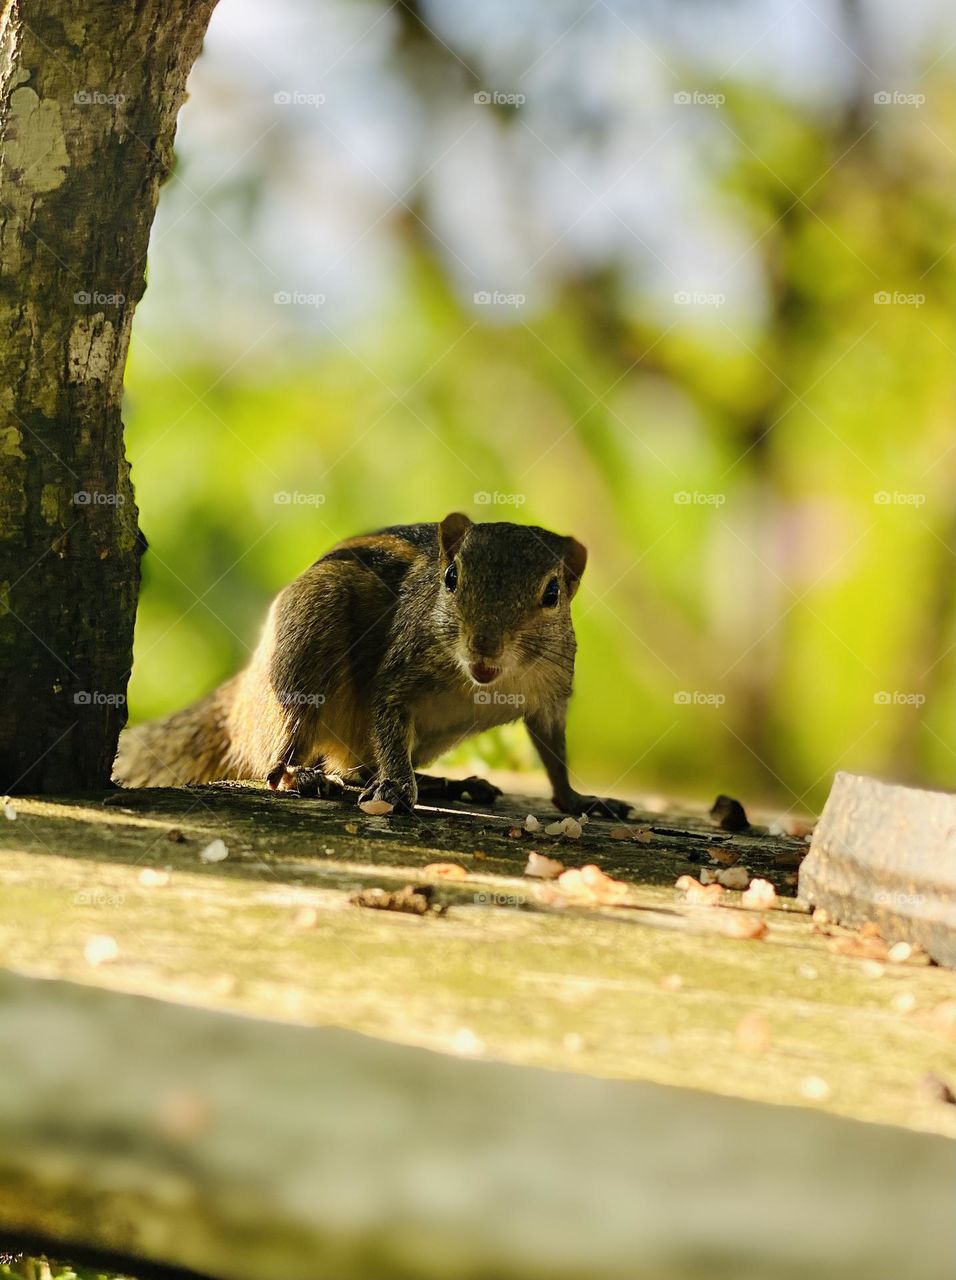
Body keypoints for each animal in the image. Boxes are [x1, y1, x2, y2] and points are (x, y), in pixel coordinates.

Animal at [113, 513, 630, 818]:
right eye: (451, 577)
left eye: (552, 593)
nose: (484, 646)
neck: (484, 683)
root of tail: (240, 697)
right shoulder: (400, 673)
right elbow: (388, 717)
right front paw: (398, 789)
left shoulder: (551, 697)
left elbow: (554, 753)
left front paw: (579, 800)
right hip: (303, 648)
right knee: (279, 758)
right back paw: (300, 775)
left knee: (358, 766)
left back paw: (442, 782)